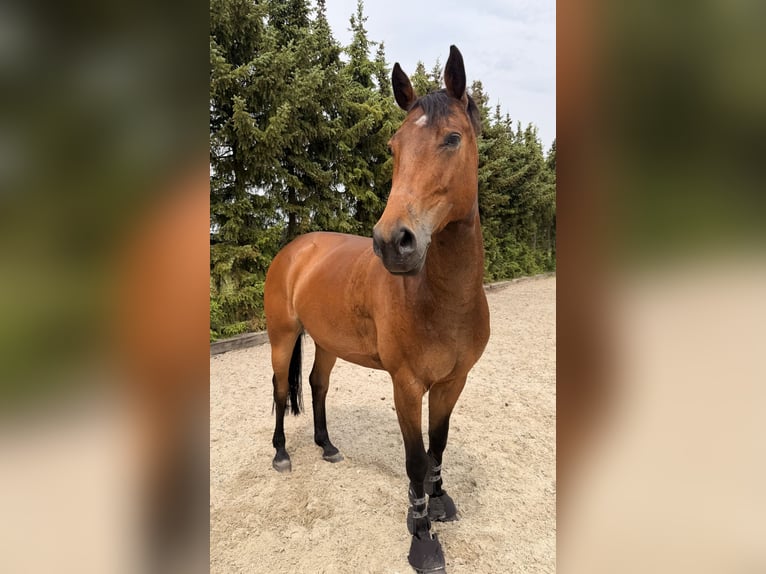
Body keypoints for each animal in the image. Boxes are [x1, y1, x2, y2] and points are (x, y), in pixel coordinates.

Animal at [263, 45, 489, 574]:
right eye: (393, 147)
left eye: (453, 138)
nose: (392, 243)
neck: (442, 300)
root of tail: (295, 249)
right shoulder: (406, 385)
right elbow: (415, 459)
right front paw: (422, 537)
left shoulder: (453, 382)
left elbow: (438, 445)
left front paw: (440, 501)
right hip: (282, 337)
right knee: (282, 390)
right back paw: (282, 455)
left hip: (326, 342)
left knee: (317, 386)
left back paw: (326, 446)